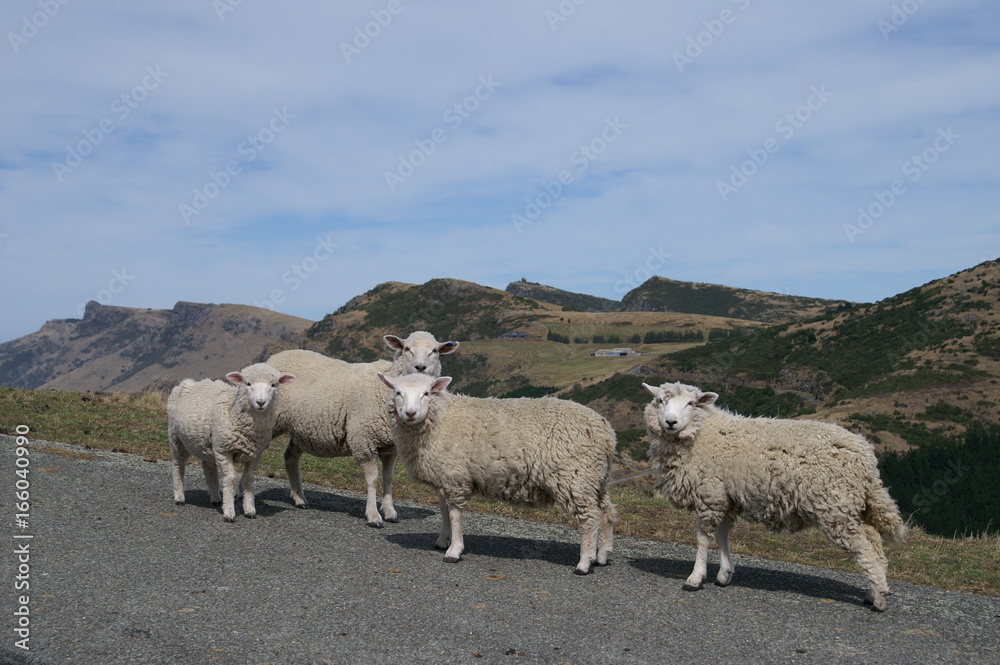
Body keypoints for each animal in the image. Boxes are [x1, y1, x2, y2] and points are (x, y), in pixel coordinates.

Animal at [167, 363, 296, 522]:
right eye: (248, 383)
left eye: (273, 384)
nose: (261, 402)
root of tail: (188, 382)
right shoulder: (224, 451)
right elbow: (230, 479)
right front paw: (229, 512)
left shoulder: (255, 454)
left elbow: (248, 480)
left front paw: (250, 509)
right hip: (176, 438)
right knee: (178, 465)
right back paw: (179, 497)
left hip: (208, 445)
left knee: (209, 468)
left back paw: (216, 498)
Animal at [267, 331, 459, 527]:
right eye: (406, 348)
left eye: (435, 351)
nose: (420, 367)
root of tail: (274, 358)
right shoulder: (364, 440)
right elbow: (372, 480)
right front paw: (373, 515)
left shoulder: (391, 447)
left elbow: (388, 478)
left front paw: (390, 511)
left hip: (302, 430)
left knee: (290, 457)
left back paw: (299, 499)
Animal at [377, 371, 618, 575]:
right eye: (398, 393)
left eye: (426, 393)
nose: (410, 413)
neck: (443, 418)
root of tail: (606, 432)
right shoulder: (444, 477)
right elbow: (444, 511)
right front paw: (442, 540)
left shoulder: (455, 477)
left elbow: (454, 515)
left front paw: (454, 550)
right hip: (595, 477)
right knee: (606, 512)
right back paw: (602, 555)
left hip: (574, 476)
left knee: (590, 518)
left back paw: (584, 562)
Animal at [642, 381, 907, 611]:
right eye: (661, 400)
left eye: (691, 403)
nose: (671, 422)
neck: (705, 432)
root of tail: (866, 455)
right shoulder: (727, 496)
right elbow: (722, 535)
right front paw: (725, 574)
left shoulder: (711, 493)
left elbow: (704, 538)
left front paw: (695, 578)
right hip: (848, 503)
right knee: (873, 540)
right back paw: (872, 592)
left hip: (834, 503)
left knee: (865, 546)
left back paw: (879, 599)